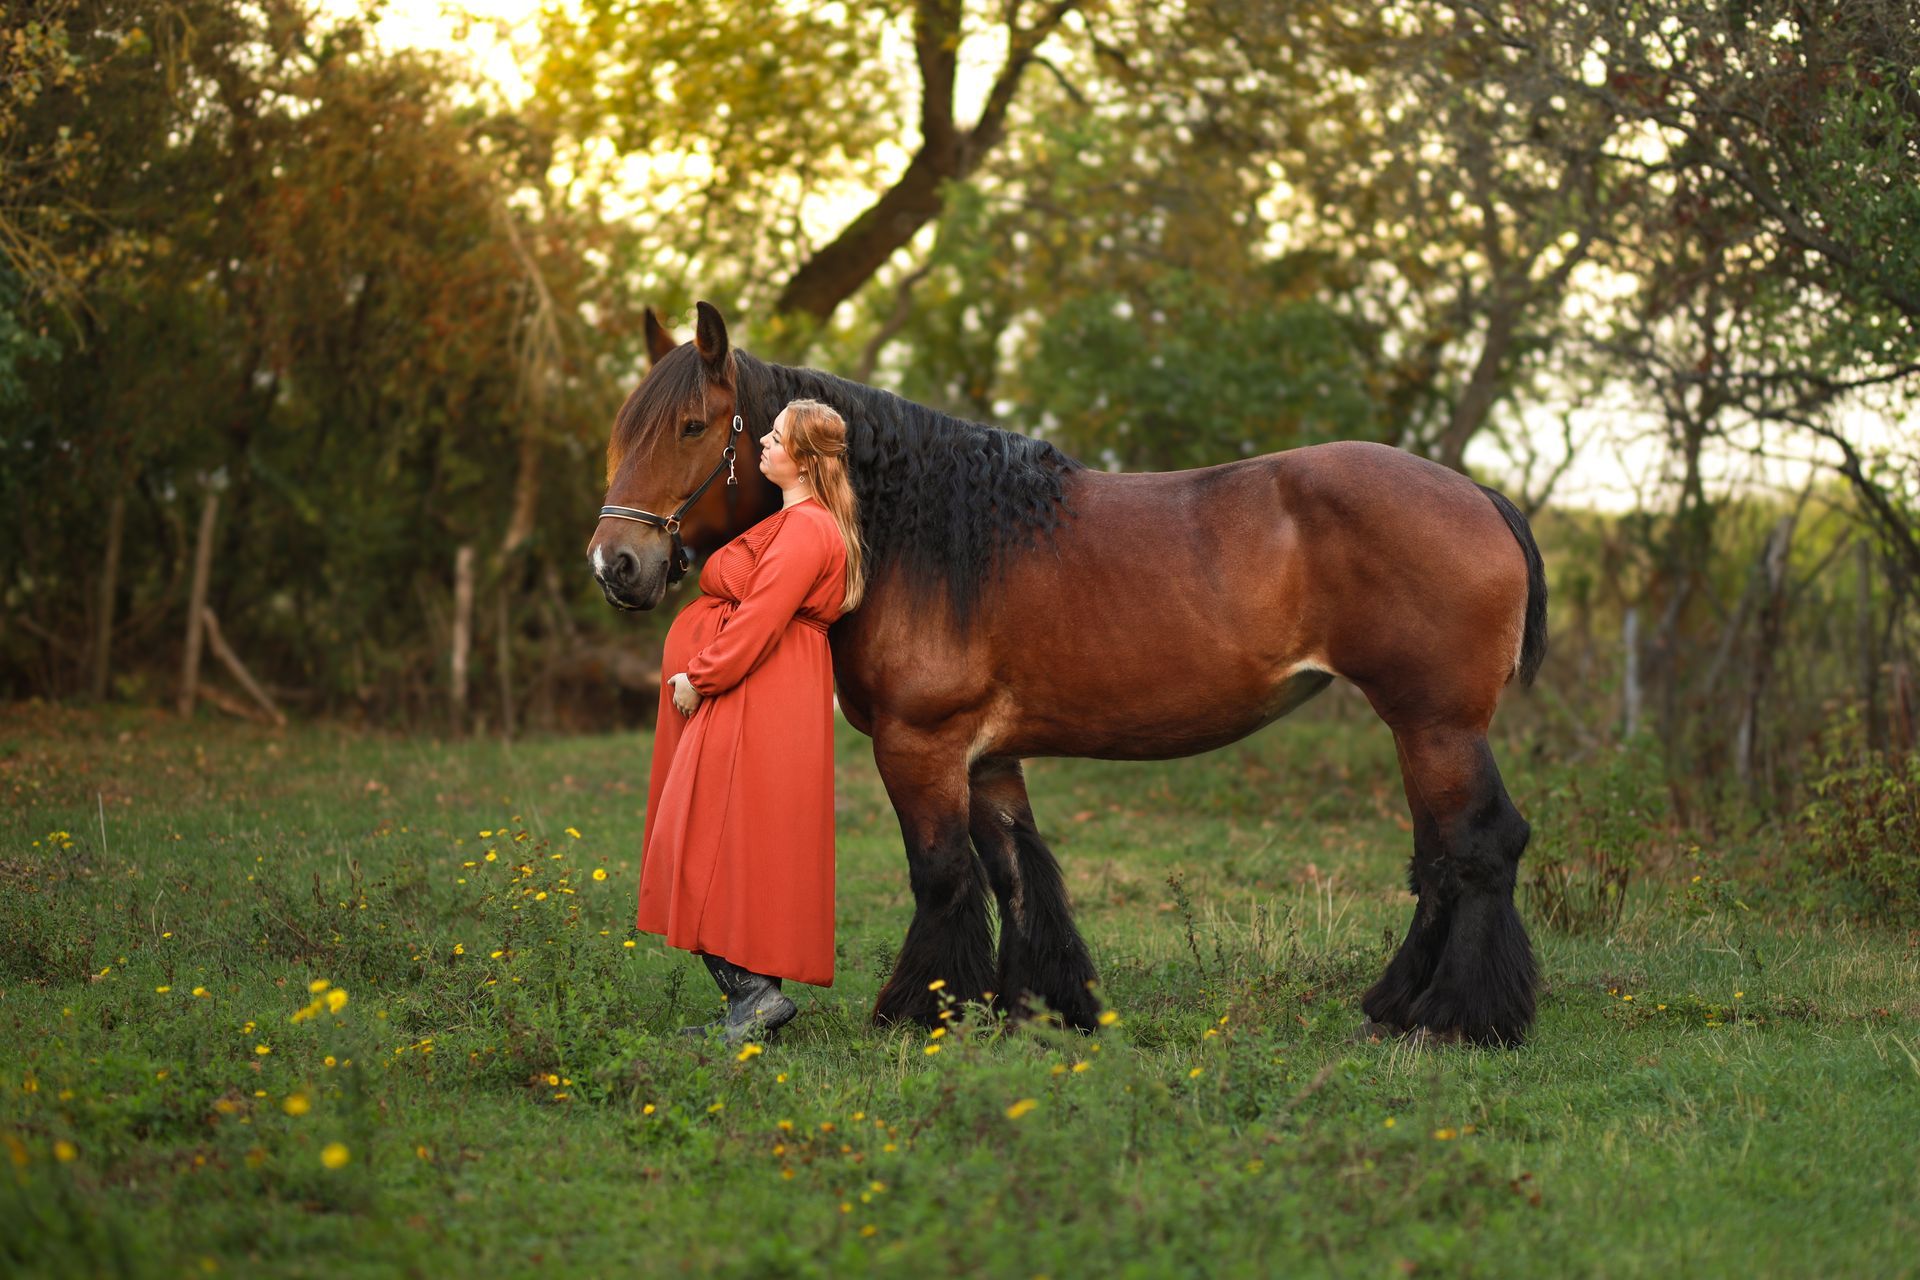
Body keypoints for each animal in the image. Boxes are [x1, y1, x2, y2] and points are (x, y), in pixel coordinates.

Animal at [589, 301, 1548, 1046]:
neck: (917, 538)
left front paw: (922, 1011)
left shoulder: (921, 745)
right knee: (1439, 858)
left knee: (1478, 846)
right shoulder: (984, 756)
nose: (616, 564)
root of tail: (1479, 495)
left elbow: (942, 873)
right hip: (1420, 727)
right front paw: (1039, 1010)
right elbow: (1017, 873)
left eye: (691, 427)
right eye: (623, 428)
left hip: (1436, 725)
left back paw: (1456, 1019)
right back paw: (1397, 1005)